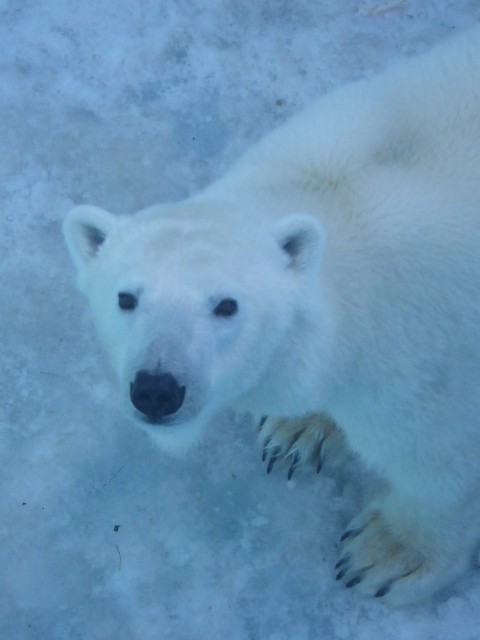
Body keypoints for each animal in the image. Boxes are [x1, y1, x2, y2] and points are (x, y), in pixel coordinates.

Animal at [65, 26, 480, 604]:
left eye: (226, 305)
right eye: (126, 298)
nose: (156, 389)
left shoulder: (438, 373)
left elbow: (442, 472)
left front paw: (385, 555)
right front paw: (300, 430)